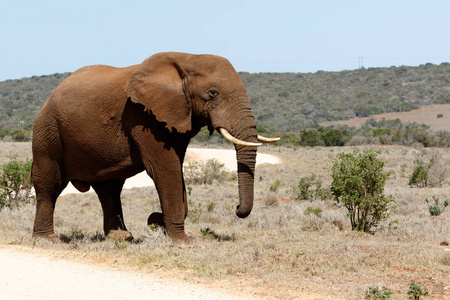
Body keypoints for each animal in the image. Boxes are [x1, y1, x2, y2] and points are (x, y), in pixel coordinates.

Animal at [27, 51, 278, 243]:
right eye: (213, 93)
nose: (236, 207)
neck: (188, 59)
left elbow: (176, 168)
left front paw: (160, 225)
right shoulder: (143, 115)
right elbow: (165, 169)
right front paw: (181, 242)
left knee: (109, 189)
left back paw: (122, 237)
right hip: (47, 130)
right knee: (49, 184)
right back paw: (48, 240)